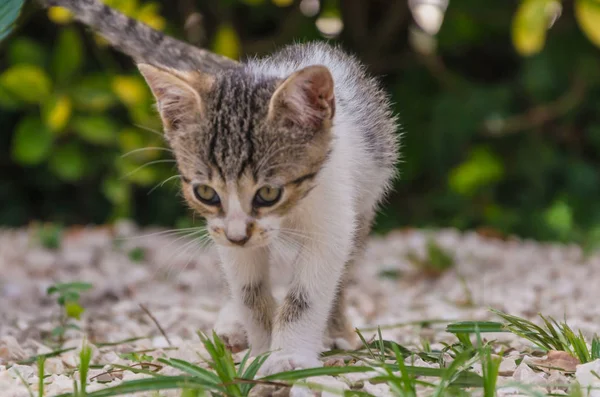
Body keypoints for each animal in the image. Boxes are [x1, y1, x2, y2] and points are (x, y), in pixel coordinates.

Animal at [137, 43, 398, 374]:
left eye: (269, 193)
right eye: (206, 193)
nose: (238, 236)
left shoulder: (332, 219)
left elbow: (306, 294)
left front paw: (289, 354)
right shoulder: (226, 233)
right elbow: (248, 291)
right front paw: (261, 350)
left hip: (364, 205)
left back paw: (339, 331)